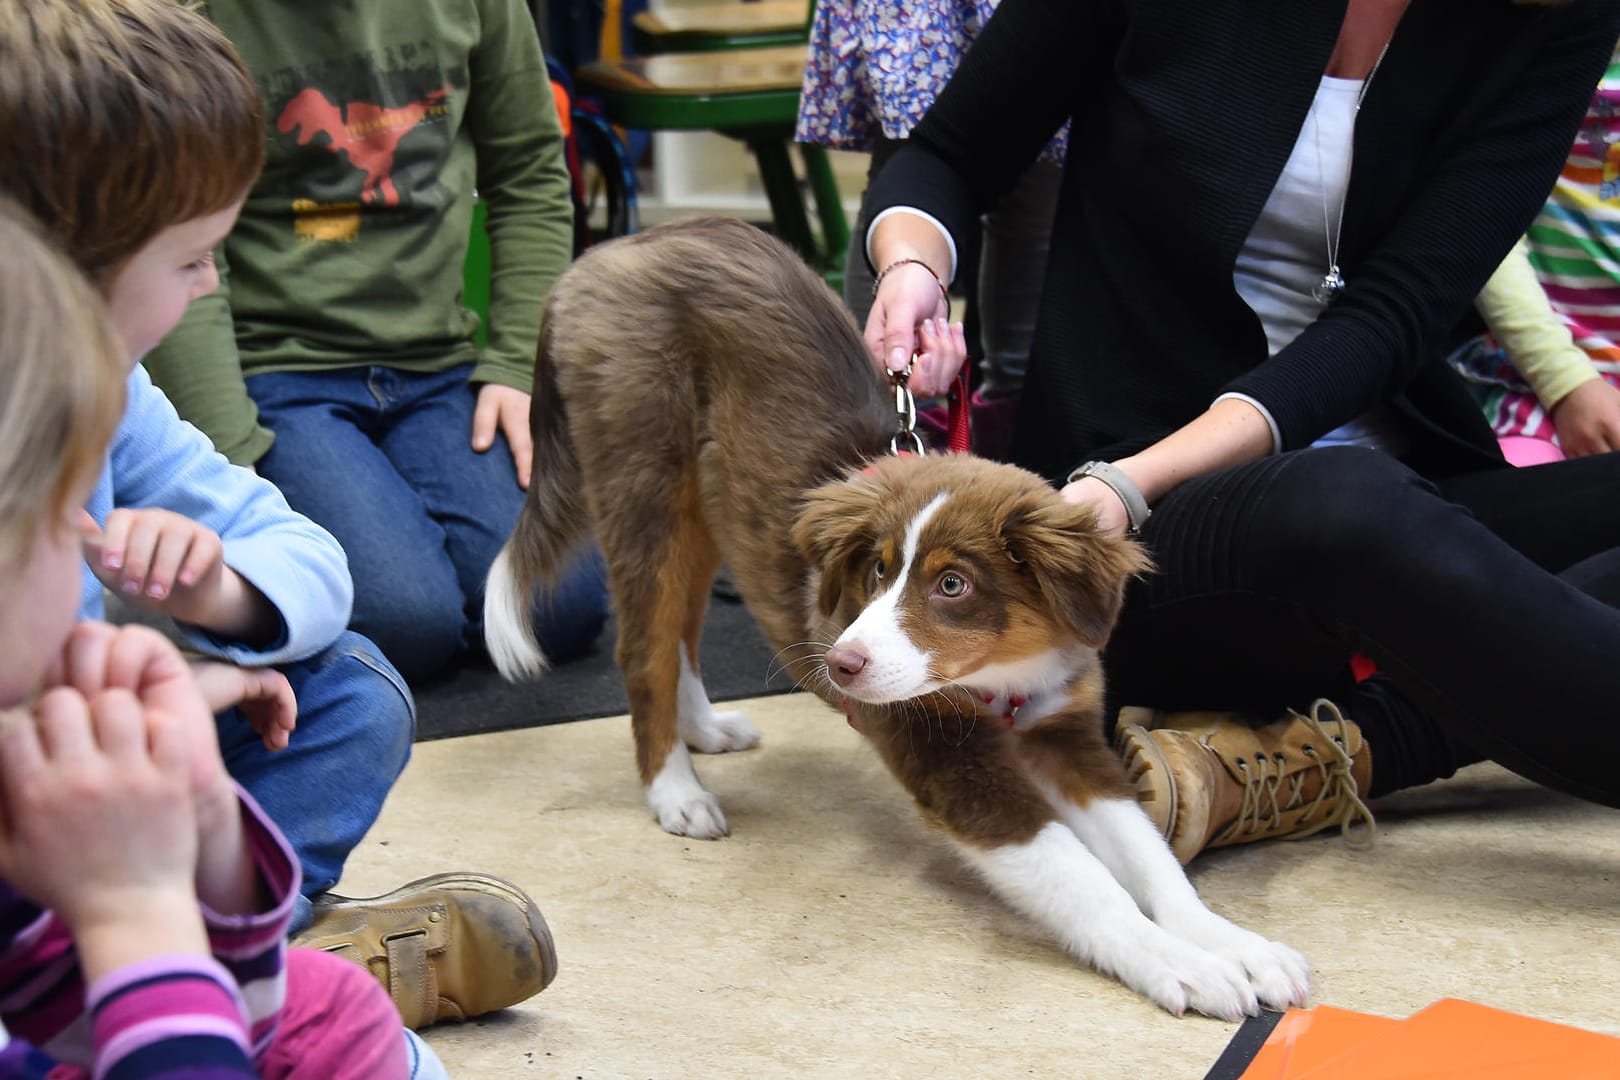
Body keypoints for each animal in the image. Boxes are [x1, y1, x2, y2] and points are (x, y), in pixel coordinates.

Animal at [486, 215, 1308, 1016]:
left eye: (953, 584)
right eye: (878, 570)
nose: (840, 666)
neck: (1003, 673)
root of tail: (606, 253)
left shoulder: (1068, 735)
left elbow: (1152, 859)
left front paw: (1234, 944)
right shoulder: (949, 758)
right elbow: (1086, 881)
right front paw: (1184, 967)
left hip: (703, 506)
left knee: (682, 632)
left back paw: (705, 730)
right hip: (644, 482)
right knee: (644, 647)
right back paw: (677, 792)